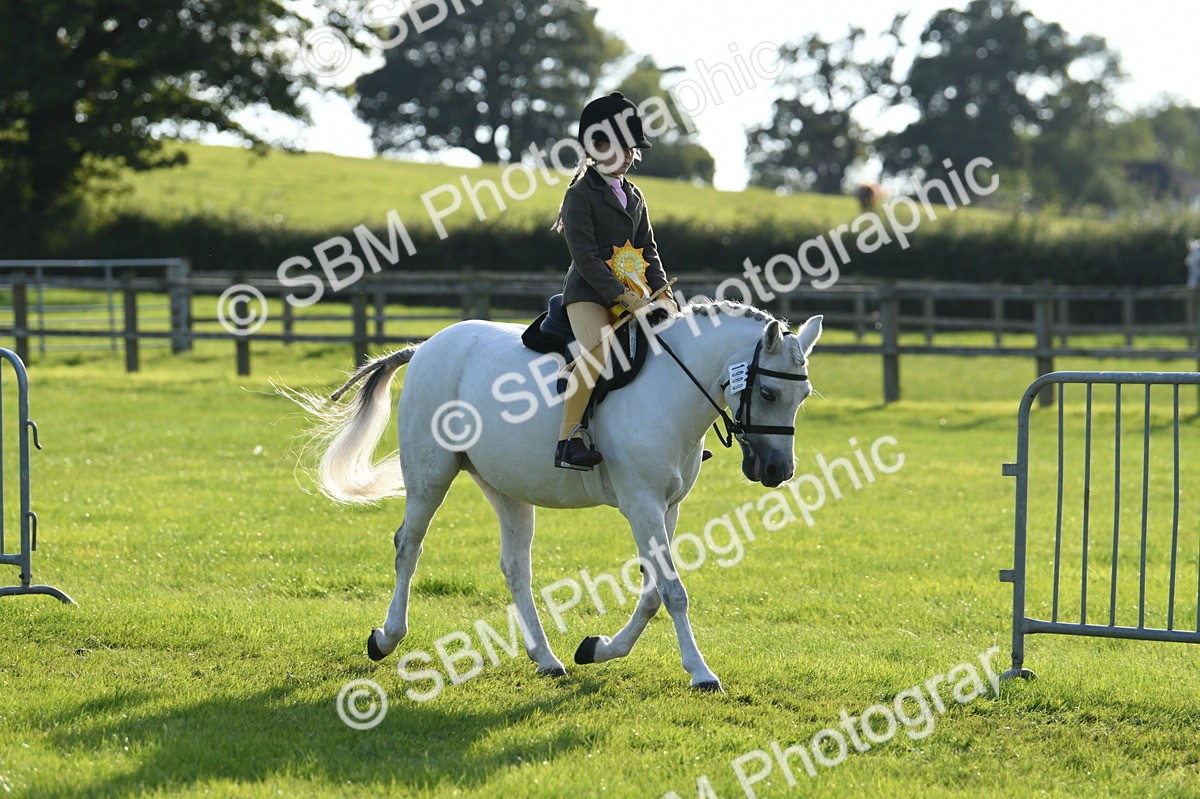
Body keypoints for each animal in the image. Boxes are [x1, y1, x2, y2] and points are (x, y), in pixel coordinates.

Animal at [291, 301, 822, 692]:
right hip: (430, 475)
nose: (778, 471)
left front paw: (597, 649)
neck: (670, 390)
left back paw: (546, 658)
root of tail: (425, 347)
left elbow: (654, 592)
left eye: (803, 396)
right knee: (409, 546)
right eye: (769, 394)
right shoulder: (642, 504)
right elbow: (672, 591)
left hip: (505, 487)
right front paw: (701, 673)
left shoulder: (667, 508)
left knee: (514, 567)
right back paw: (386, 638)